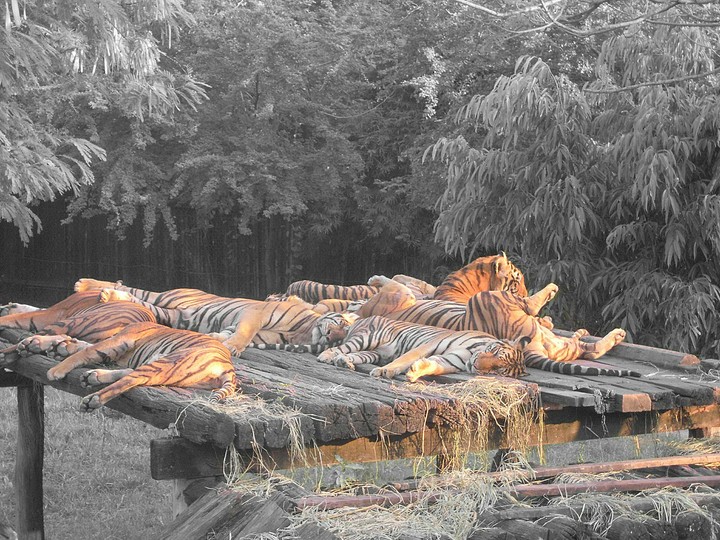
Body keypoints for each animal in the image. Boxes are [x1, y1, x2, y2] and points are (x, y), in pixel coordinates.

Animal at [44, 322, 237, 411]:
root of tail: (228, 366)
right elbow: (85, 347)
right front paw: (59, 348)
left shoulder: (119, 340)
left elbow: (87, 350)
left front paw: (56, 369)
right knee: (132, 374)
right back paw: (93, 376)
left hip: (168, 361)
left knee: (130, 380)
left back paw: (93, 399)